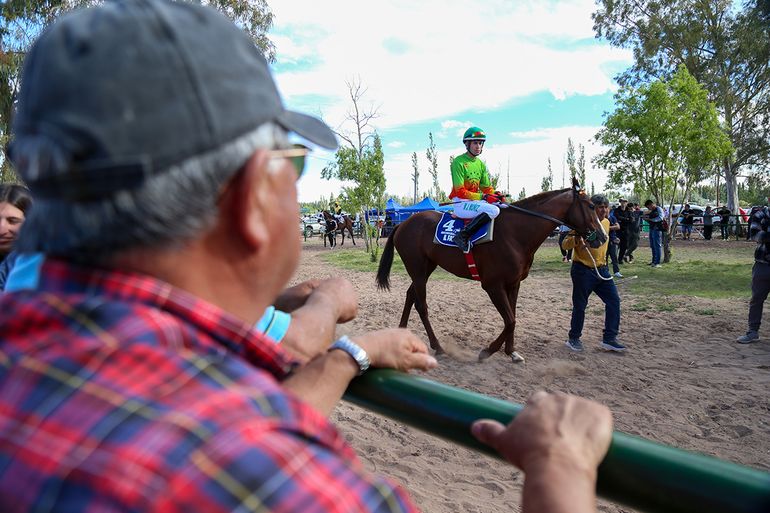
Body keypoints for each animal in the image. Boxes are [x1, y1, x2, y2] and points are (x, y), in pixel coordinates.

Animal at [376, 178, 608, 362]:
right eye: (590, 206)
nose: (603, 236)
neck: (515, 234)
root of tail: (403, 224)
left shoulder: (514, 283)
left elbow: (512, 318)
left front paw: (511, 352)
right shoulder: (493, 285)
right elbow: (510, 320)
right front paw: (487, 351)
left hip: (425, 268)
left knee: (410, 295)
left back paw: (401, 334)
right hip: (417, 268)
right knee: (421, 305)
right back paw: (438, 347)